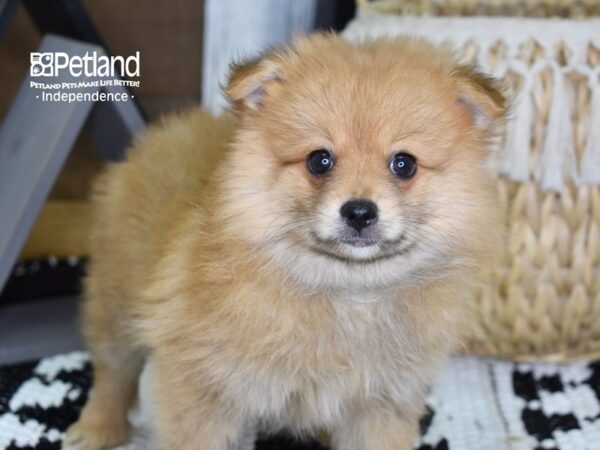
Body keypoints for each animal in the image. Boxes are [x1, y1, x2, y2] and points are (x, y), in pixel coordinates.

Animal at [64, 35, 506, 450]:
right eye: (319, 160)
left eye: (405, 164)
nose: (359, 211)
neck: (349, 292)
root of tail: (162, 134)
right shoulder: (199, 383)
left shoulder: (381, 403)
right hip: (116, 301)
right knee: (112, 371)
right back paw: (96, 429)